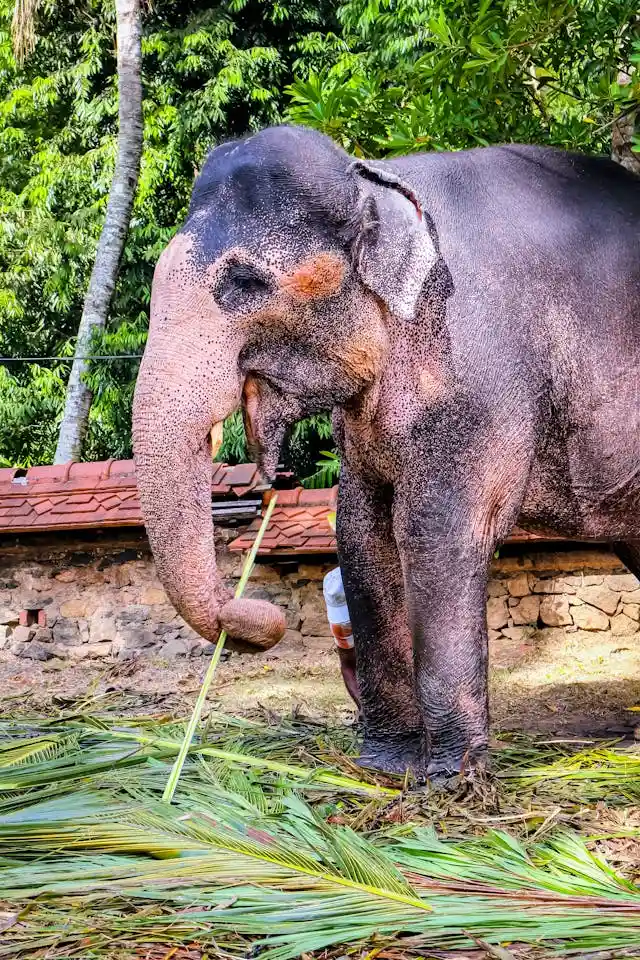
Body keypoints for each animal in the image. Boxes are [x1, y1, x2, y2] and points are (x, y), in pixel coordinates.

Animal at [133, 124, 640, 779]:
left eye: (245, 283)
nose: (262, 619)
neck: (376, 178)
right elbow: (360, 530)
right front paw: (384, 765)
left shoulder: (480, 372)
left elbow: (436, 533)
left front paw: (448, 779)